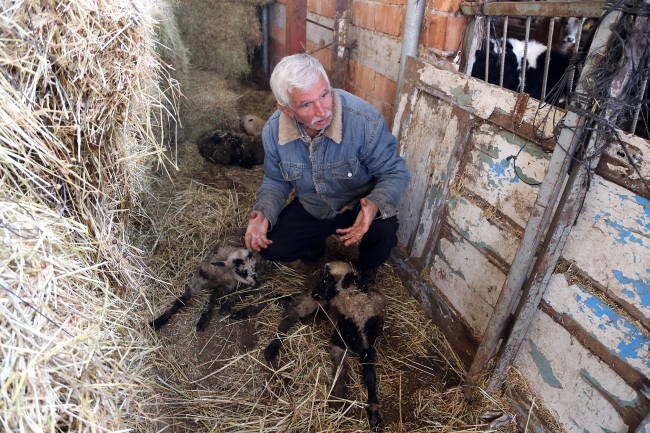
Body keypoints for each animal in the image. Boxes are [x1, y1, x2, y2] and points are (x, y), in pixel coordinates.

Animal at [262, 260, 384, 428]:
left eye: (326, 279)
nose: (315, 291)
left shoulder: (368, 349)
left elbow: (370, 378)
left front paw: (374, 412)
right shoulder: (338, 342)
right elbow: (341, 371)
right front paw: (339, 405)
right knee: (293, 312)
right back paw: (272, 349)